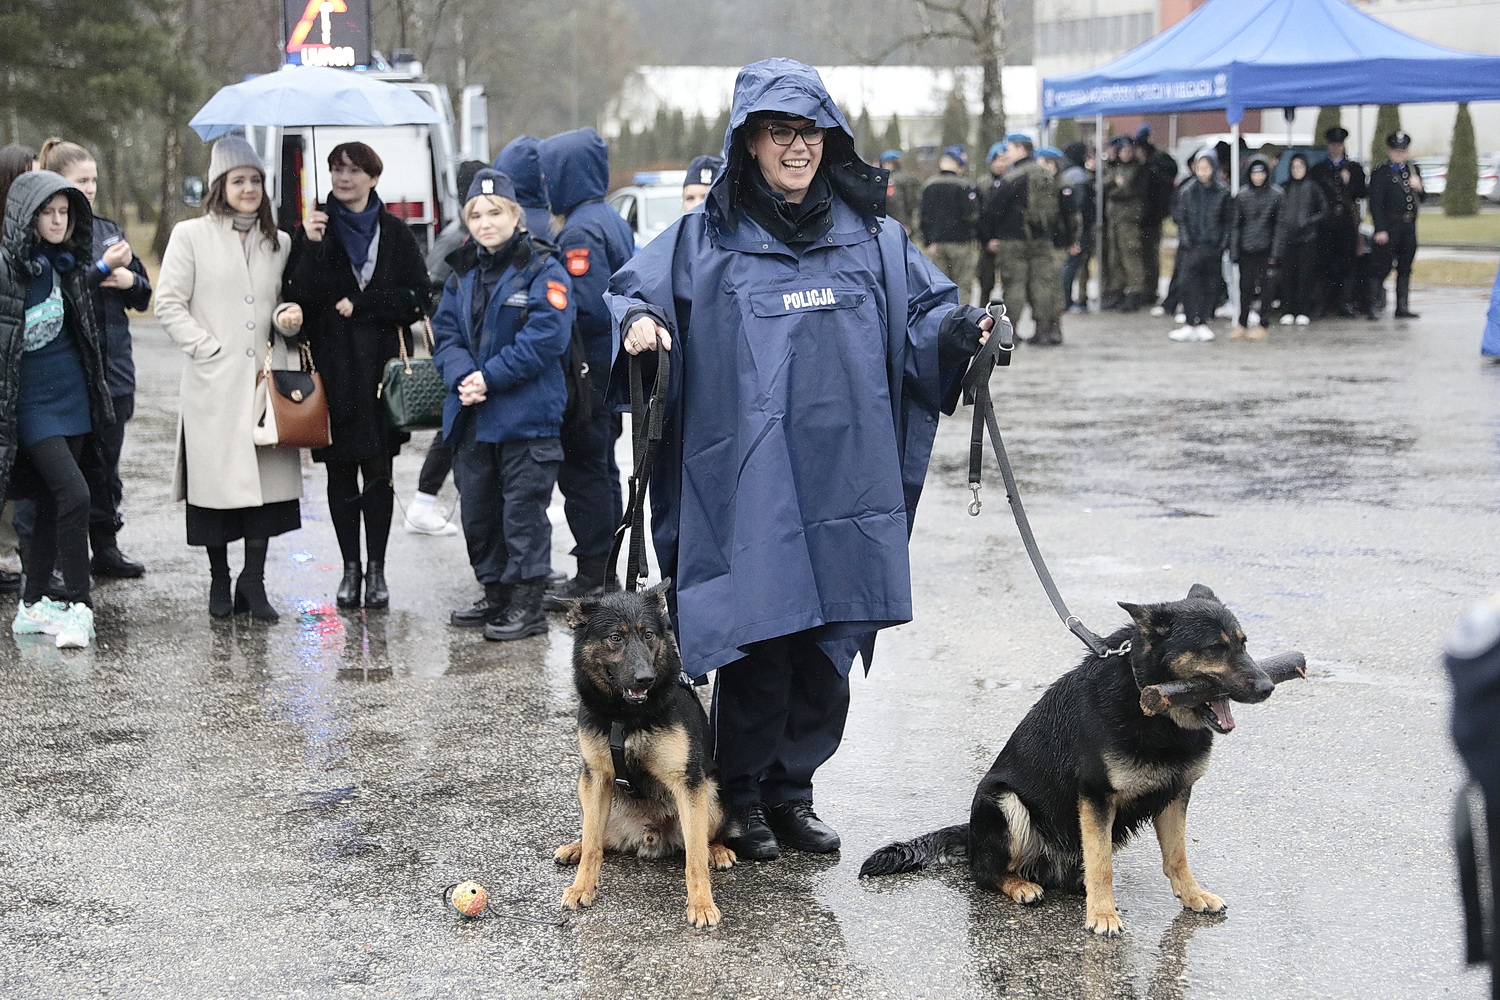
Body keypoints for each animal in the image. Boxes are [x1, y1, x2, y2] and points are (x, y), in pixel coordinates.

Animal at [555, 581, 735, 929]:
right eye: (615, 637)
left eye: (648, 634)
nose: (645, 679)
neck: (625, 716)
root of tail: (650, 835)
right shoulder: (596, 777)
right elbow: (593, 845)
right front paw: (582, 887)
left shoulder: (689, 784)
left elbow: (694, 858)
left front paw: (702, 904)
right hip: (587, 793)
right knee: (597, 838)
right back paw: (575, 847)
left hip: (712, 792)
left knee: (708, 837)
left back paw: (717, 851)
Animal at [864, 587, 1272, 941]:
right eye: (1215, 647)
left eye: (1243, 644)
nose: (1268, 686)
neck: (1148, 701)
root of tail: (970, 834)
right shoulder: (1095, 797)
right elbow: (1102, 865)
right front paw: (1103, 914)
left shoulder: (1175, 794)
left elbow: (1177, 856)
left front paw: (1192, 895)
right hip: (1002, 800)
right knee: (985, 872)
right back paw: (1021, 885)